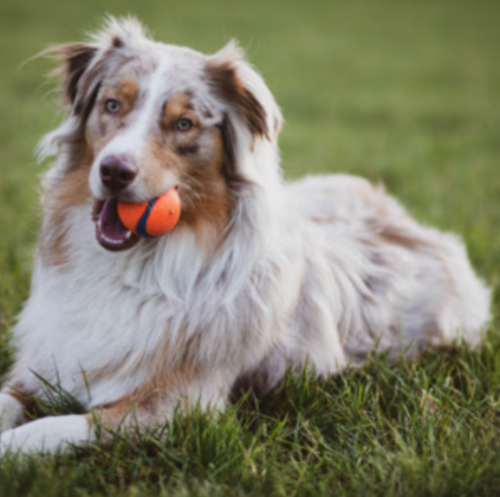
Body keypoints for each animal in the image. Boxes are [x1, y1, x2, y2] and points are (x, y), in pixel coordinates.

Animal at [0, 18, 490, 454]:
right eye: (112, 105)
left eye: (184, 124)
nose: (115, 171)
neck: (135, 266)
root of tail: (410, 222)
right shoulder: (43, 365)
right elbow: (9, 399)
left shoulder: (179, 406)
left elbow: (59, 425)